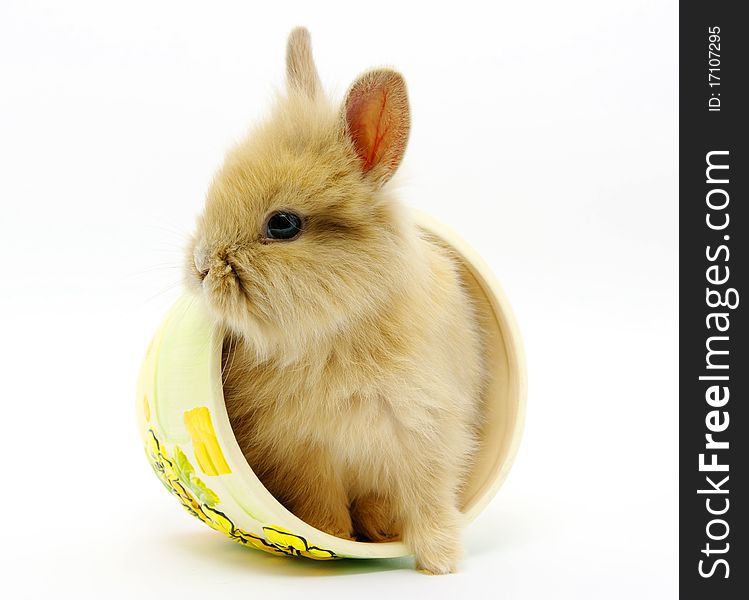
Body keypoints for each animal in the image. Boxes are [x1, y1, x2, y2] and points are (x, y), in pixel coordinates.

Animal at [184, 29, 482, 576]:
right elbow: (321, 504)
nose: (199, 267)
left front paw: (440, 563)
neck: (334, 330)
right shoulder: (303, 452)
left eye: (283, 224)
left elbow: (426, 500)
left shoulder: (425, 434)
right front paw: (338, 538)